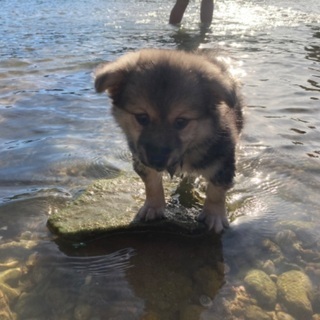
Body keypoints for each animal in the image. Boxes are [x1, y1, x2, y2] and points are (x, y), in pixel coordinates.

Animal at [94, 48, 244, 232]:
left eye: (181, 122)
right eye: (142, 118)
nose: (157, 161)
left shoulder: (222, 160)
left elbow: (217, 191)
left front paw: (214, 215)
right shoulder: (140, 158)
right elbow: (151, 183)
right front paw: (153, 206)